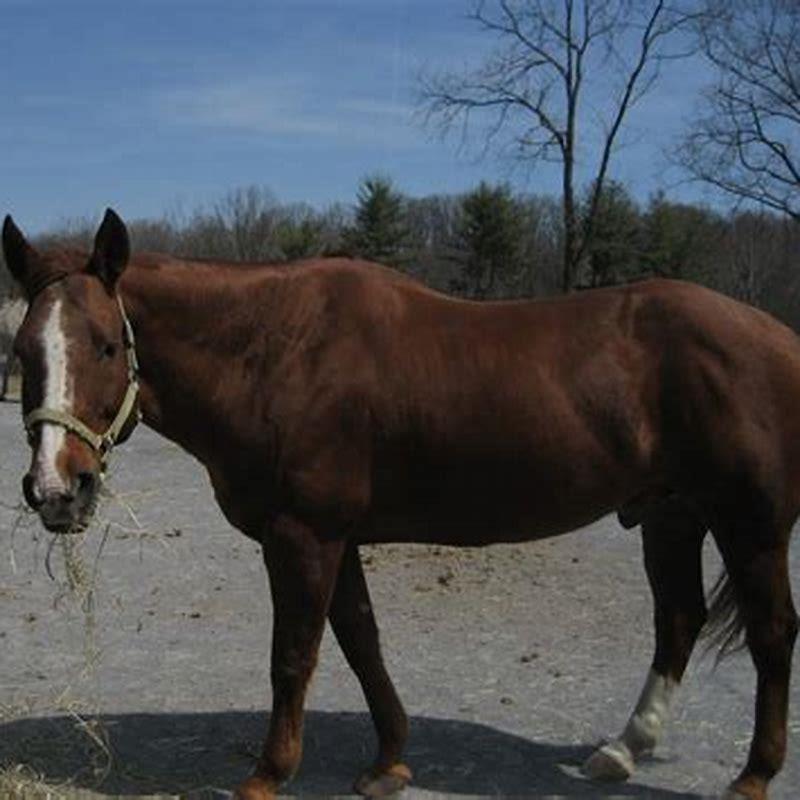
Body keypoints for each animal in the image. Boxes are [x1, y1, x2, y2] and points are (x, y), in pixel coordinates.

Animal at [2, 208, 798, 800]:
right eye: (23, 351)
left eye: (106, 346)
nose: (56, 489)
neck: (275, 351)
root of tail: (779, 337)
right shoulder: (337, 537)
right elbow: (361, 639)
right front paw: (389, 761)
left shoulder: (302, 536)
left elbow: (294, 655)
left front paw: (267, 774)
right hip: (671, 514)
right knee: (679, 620)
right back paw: (623, 751)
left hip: (749, 526)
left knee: (771, 634)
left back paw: (753, 775)